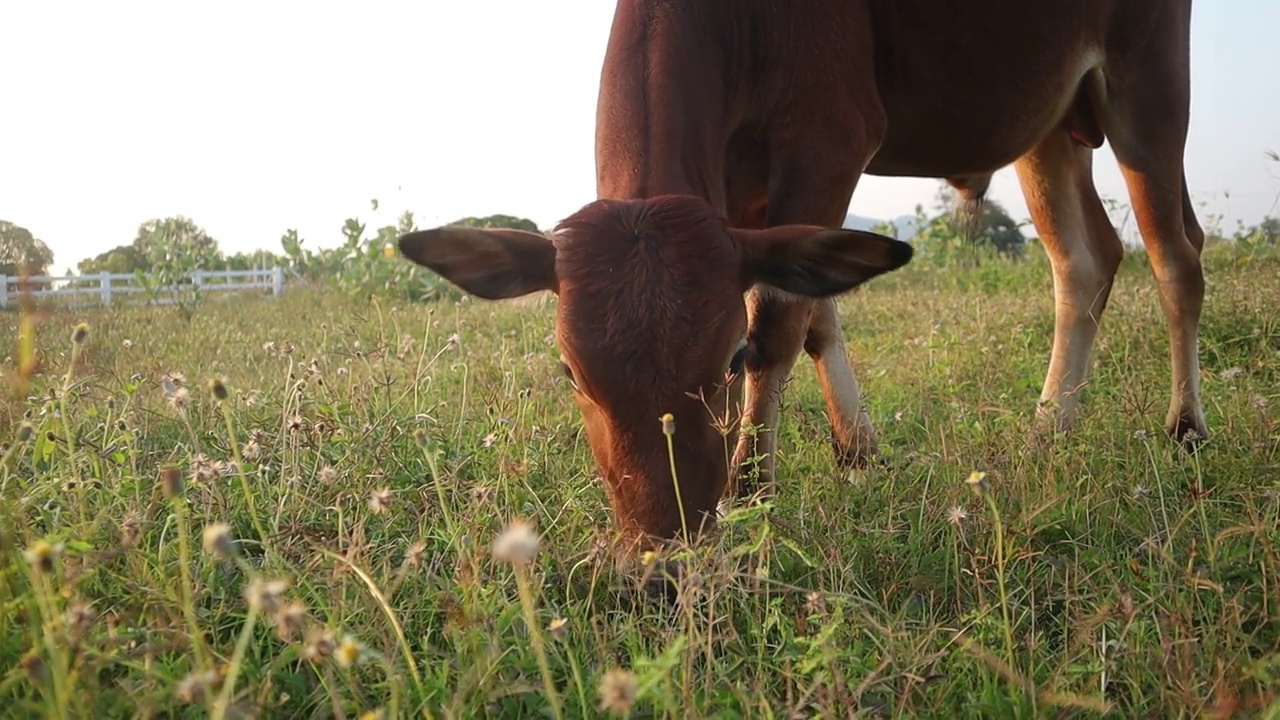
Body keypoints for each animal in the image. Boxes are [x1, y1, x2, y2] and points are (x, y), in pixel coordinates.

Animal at [401, 0, 1208, 548]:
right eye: (569, 372)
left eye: (728, 363)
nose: (660, 554)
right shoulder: (744, 196)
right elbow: (814, 311)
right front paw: (857, 448)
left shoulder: (830, 139)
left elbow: (781, 324)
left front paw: (754, 490)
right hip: (1048, 122)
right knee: (1086, 259)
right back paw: (1050, 430)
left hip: (1147, 82)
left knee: (1177, 255)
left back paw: (1185, 426)